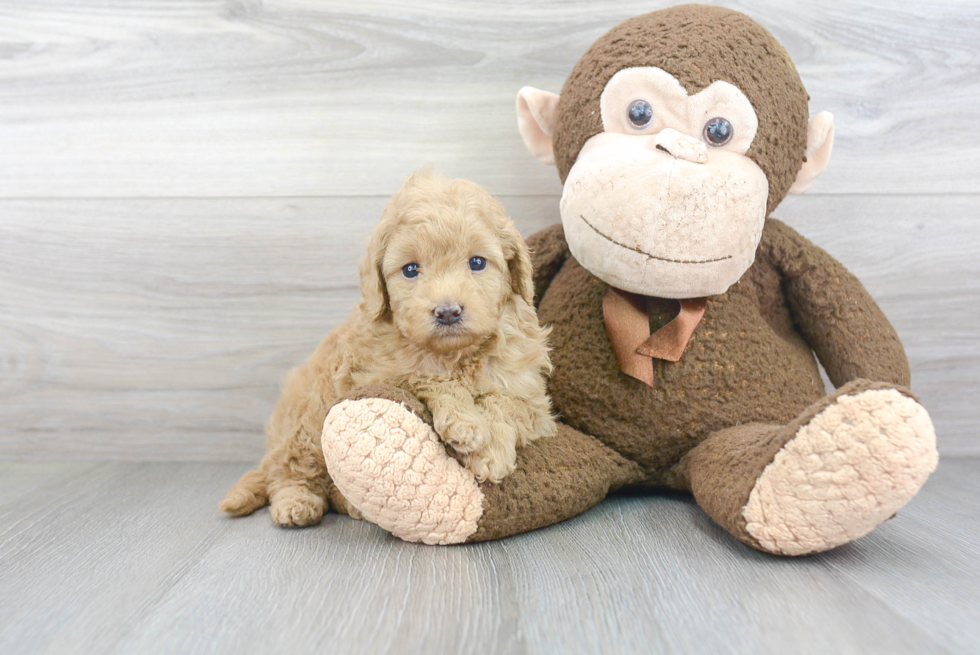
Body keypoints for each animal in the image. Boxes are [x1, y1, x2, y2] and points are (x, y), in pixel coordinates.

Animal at [224, 170, 560, 528]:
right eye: (411, 269)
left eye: (478, 262)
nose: (448, 311)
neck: (455, 355)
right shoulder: (379, 374)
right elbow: (430, 379)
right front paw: (465, 424)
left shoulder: (533, 400)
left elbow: (506, 403)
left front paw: (492, 450)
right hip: (305, 421)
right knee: (288, 469)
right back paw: (296, 502)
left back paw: (350, 505)